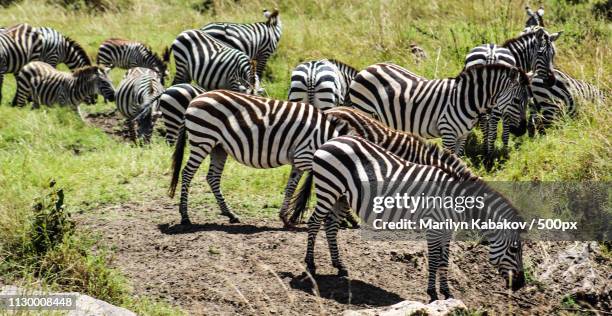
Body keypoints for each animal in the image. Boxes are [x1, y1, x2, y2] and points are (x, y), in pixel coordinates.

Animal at [169, 90, 350, 226]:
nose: (352, 222)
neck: (323, 138)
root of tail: (194, 99)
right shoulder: (304, 157)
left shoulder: (299, 161)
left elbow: (291, 187)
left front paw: (285, 217)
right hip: (203, 139)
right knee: (187, 173)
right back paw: (185, 216)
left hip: (218, 147)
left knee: (212, 177)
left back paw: (230, 214)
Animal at [304, 135, 524, 302]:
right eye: (514, 249)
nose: (521, 285)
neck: (455, 198)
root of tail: (331, 140)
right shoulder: (434, 227)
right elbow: (434, 260)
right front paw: (433, 293)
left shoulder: (447, 230)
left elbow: (444, 261)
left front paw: (447, 292)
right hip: (328, 188)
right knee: (314, 222)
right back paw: (310, 264)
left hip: (341, 197)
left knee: (331, 226)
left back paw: (339, 266)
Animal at [350, 62, 532, 154]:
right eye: (516, 100)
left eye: (528, 101)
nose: (522, 131)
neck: (466, 100)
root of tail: (366, 69)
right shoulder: (448, 133)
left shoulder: (462, 135)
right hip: (364, 111)